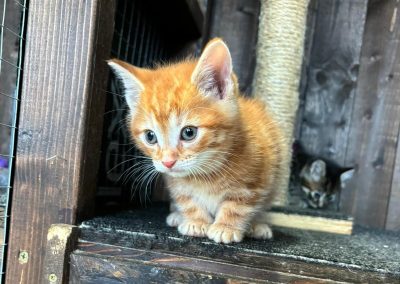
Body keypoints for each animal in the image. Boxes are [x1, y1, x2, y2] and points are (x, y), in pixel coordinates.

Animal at [108, 38, 286, 244]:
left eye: (189, 133)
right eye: (150, 136)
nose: (168, 162)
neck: (205, 173)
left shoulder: (255, 182)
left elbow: (238, 205)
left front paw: (226, 226)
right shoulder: (176, 184)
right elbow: (188, 201)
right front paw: (196, 222)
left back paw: (258, 225)